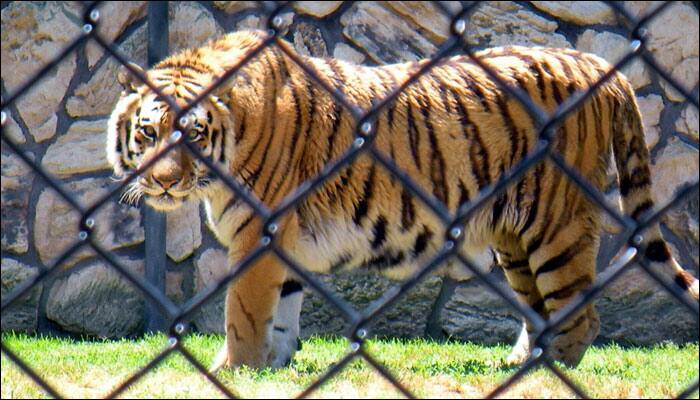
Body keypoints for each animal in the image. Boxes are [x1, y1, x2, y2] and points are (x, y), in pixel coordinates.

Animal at [106, 29, 696, 370]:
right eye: (148, 133)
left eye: (194, 135)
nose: (163, 183)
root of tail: (601, 66)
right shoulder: (283, 240)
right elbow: (281, 311)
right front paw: (273, 368)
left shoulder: (258, 233)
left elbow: (244, 313)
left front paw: (233, 370)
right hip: (516, 239)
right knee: (541, 312)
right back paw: (516, 365)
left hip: (557, 225)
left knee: (581, 317)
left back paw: (544, 379)